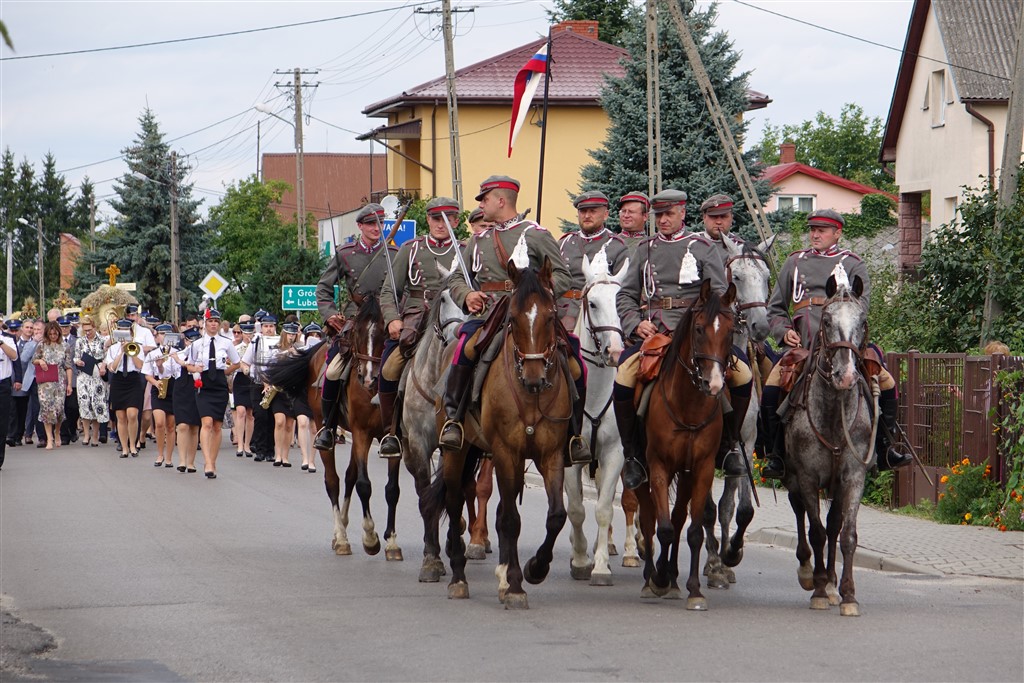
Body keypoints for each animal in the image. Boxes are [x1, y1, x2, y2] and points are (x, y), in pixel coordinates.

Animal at [421, 258, 569, 610]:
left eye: (551, 316)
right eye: (512, 319)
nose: (534, 376)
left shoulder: (551, 454)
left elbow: (555, 515)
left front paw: (535, 568)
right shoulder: (506, 453)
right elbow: (511, 519)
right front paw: (514, 585)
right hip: (456, 451)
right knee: (454, 500)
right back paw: (458, 576)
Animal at [630, 280, 737, 610]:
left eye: (731, 331)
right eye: (699, 329)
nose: (714, 384)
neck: (688, 405)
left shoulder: (702, 469)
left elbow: (691, 531)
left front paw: (693, 589)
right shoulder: (658, 465)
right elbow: (662, 528)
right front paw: (659, 579)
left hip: (687, 475)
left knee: (677, 520)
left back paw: (674, 577)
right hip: (644, 474)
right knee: (650, 519)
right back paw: (651, 577)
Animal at [778, 274, 876, 618]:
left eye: (862, 320)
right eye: (828, 320)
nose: (844, 376)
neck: (834, 413)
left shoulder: (853, 477)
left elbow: (846, 534)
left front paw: (847, 594)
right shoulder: (807, 477)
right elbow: (816, 532)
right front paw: (819, 589)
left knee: (834, 525)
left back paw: (833, 583)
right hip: (792, 477)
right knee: (800, 514)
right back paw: (810, 572)